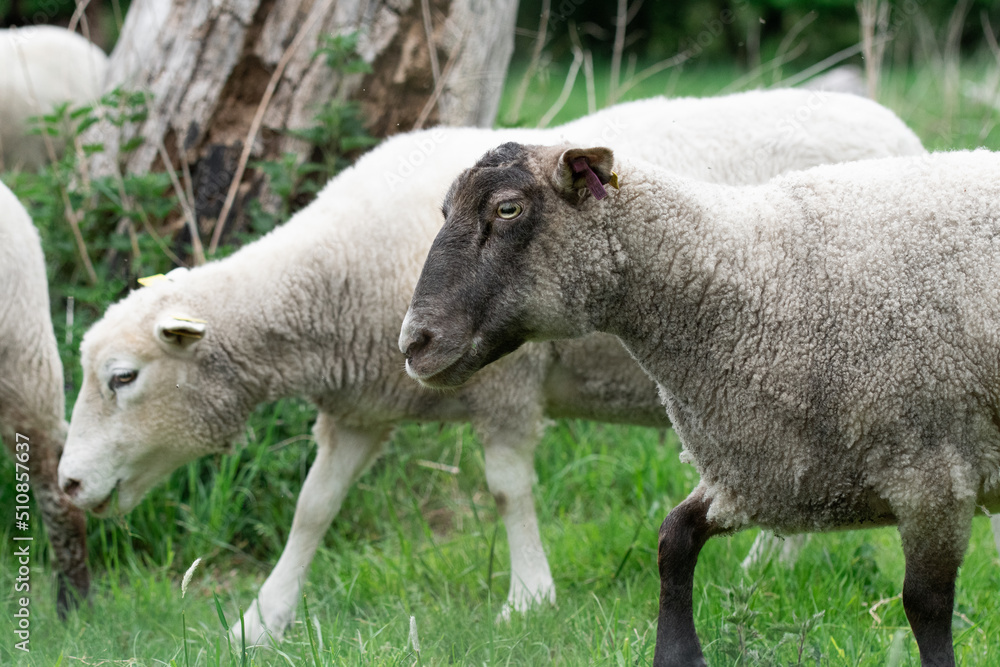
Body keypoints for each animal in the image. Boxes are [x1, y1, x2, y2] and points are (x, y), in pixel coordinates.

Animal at [57, 88, 929, 645]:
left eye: (123, 378)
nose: (65, 484)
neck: (326, 284)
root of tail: (904, 129)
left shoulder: (504, 382)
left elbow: (508, 489)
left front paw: (528, 598)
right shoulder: (361, 405)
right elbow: (313, 507)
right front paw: (260, 621)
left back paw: (763, 563)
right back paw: (764, 565)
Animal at [399, 143, 1000, 667]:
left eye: (508, 209)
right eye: (445, 211)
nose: (411, 344)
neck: (752, 280)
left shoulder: (934, 478)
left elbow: (924, 606)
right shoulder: (761, 472)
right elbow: (674, 540)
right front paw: (678, 655)